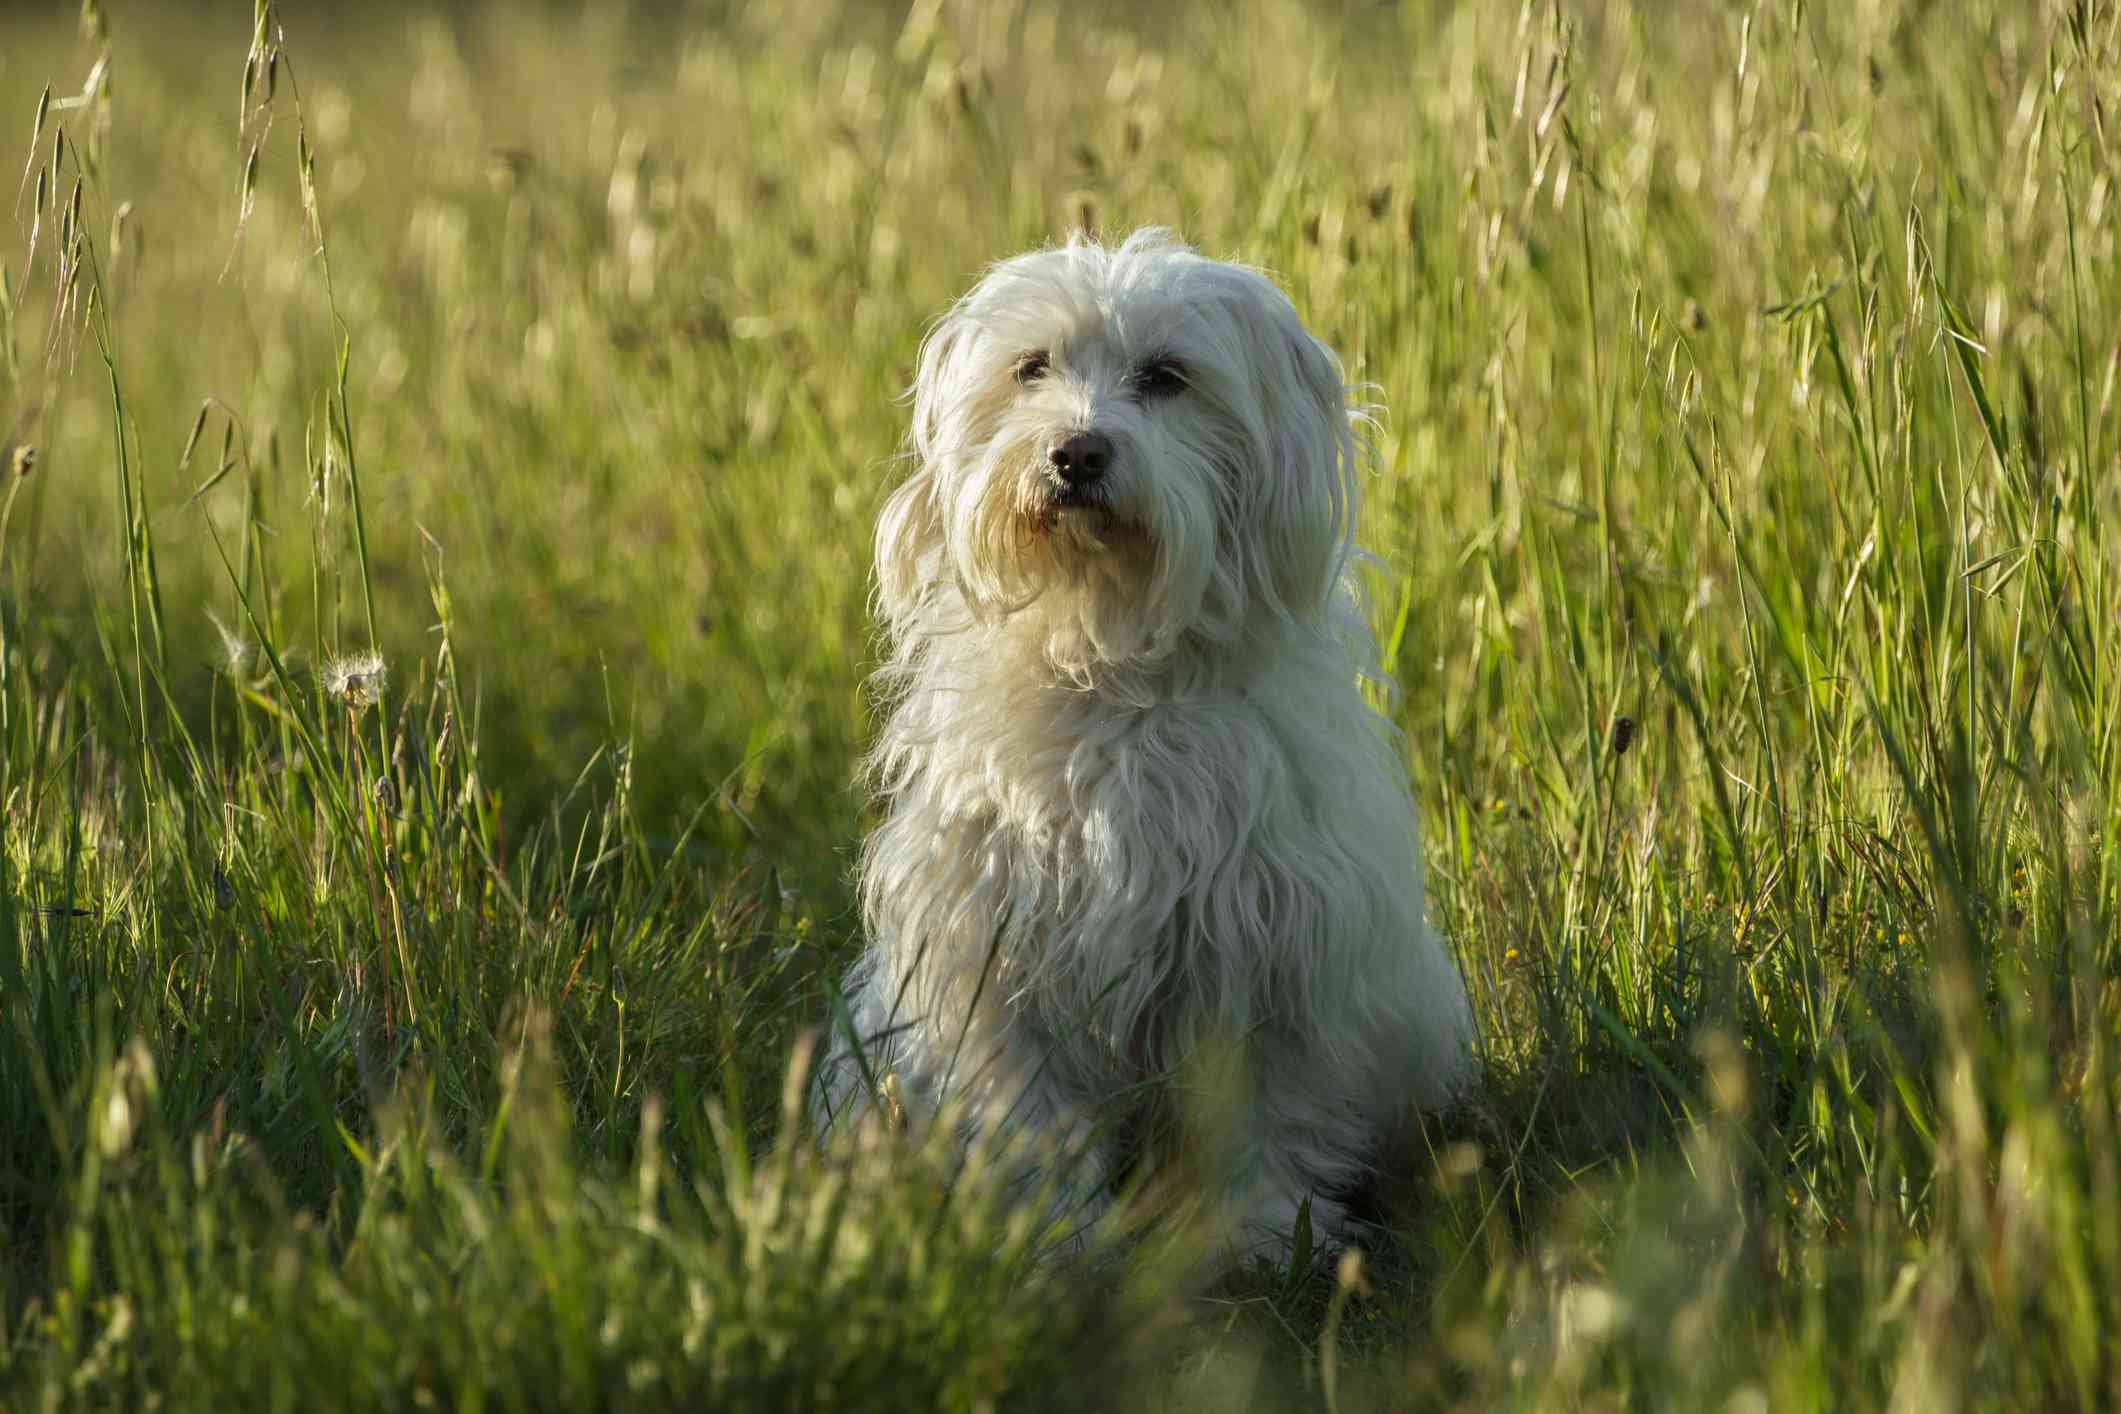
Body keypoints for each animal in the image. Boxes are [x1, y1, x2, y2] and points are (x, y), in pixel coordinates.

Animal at [810, 232, 1476, 1263]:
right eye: (1031, 368)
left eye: (1166, 377)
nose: (1076, 452)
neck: (1115, 667)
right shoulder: (996, 952)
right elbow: (1029, 1119)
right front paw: (1052, 1233)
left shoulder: (1270, 949)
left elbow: (1263, 1115)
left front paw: (1266, 1227)